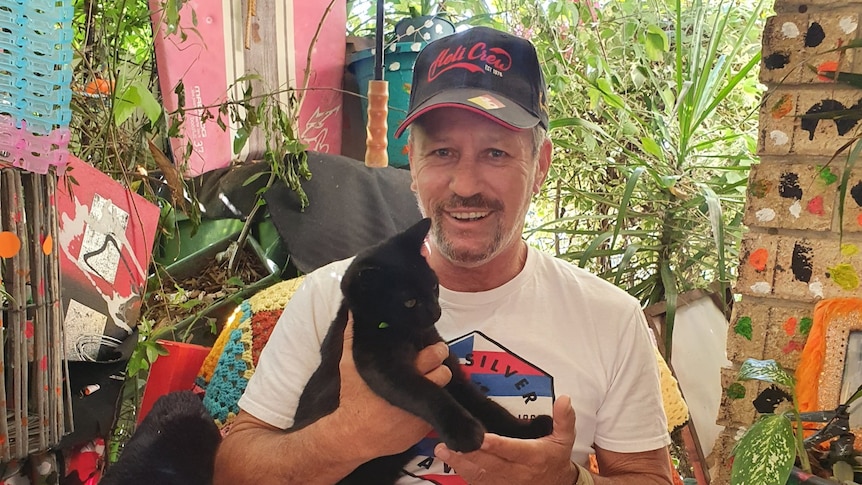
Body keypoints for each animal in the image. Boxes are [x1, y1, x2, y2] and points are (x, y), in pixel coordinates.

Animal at [292, 218, 552, 484]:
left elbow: (485, 404)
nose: (436, 312)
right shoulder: (380, 365)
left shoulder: (450, 368)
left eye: (434, 286)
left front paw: (527, 430)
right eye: (409, 302)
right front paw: (464, 432)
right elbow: (428, 393)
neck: (413, 335)